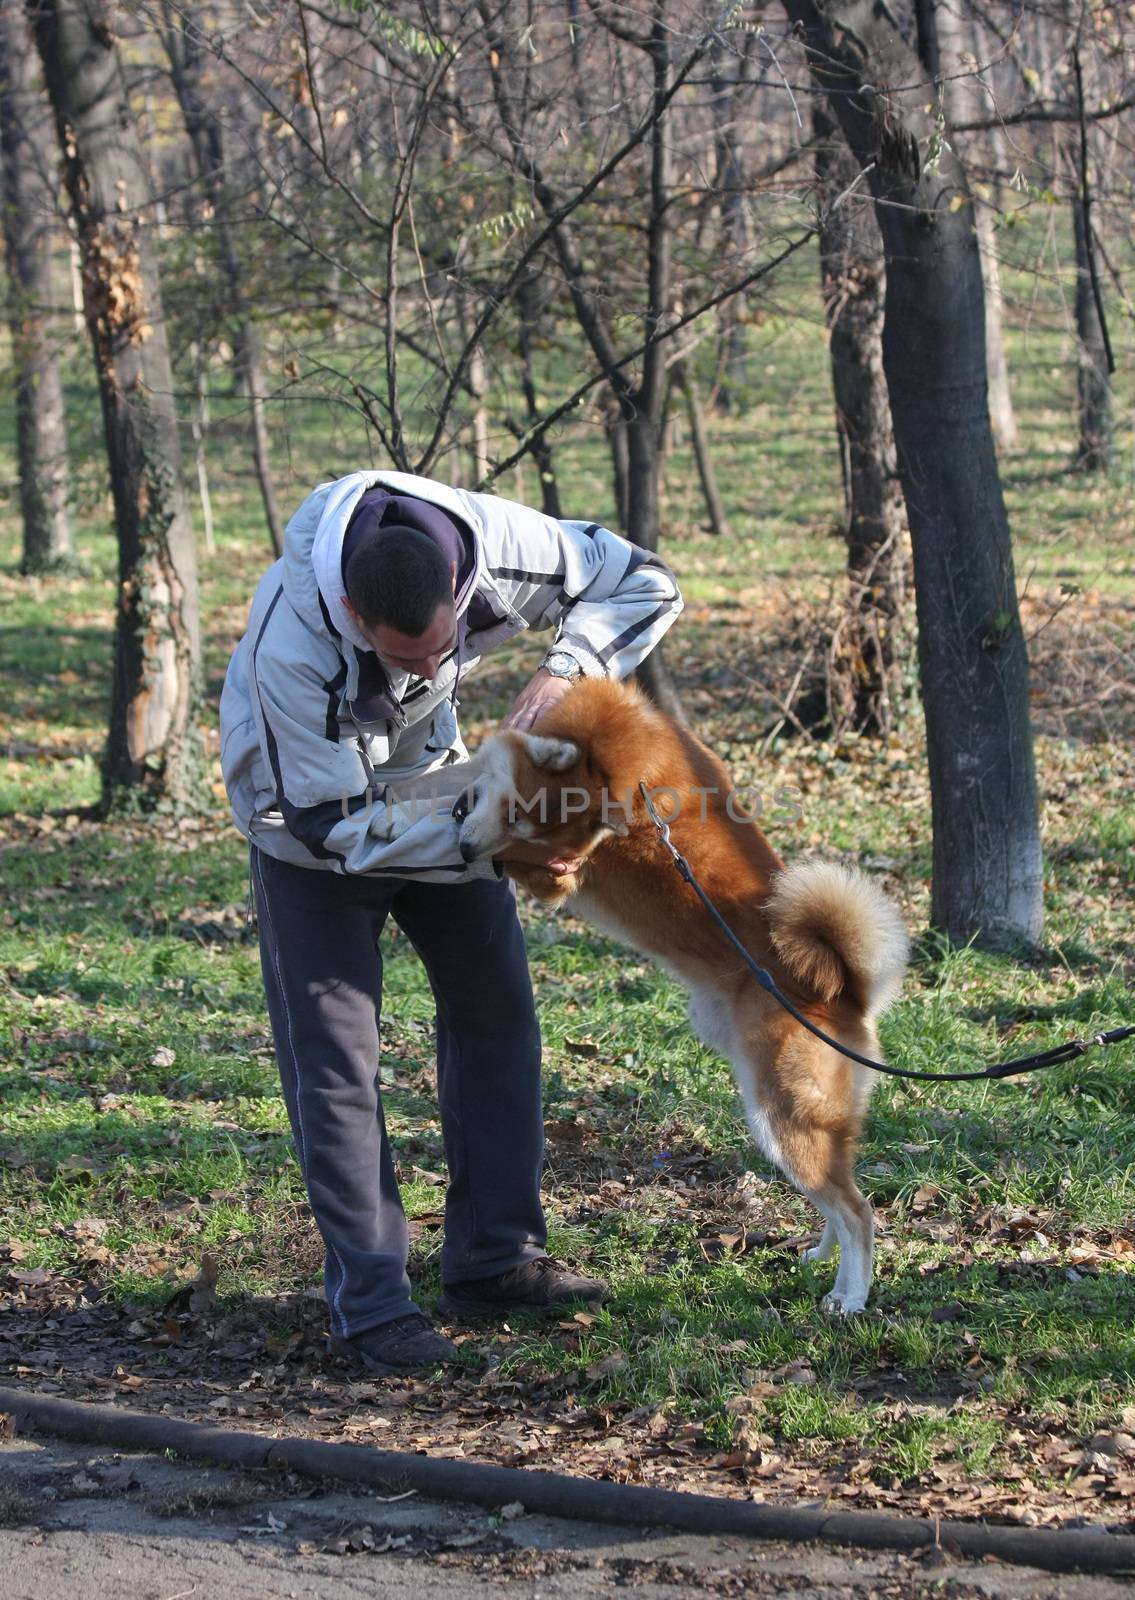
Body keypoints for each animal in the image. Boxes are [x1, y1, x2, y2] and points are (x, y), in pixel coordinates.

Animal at [454, 675, 909, 1312]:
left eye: (522, 817)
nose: (467, 851)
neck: (610, 755)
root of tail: (845, 991)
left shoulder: (554, 872)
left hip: (781, 1117)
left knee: (859, 1213)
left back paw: (849, 1296)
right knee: (838, 1201)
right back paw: (822, 1256)